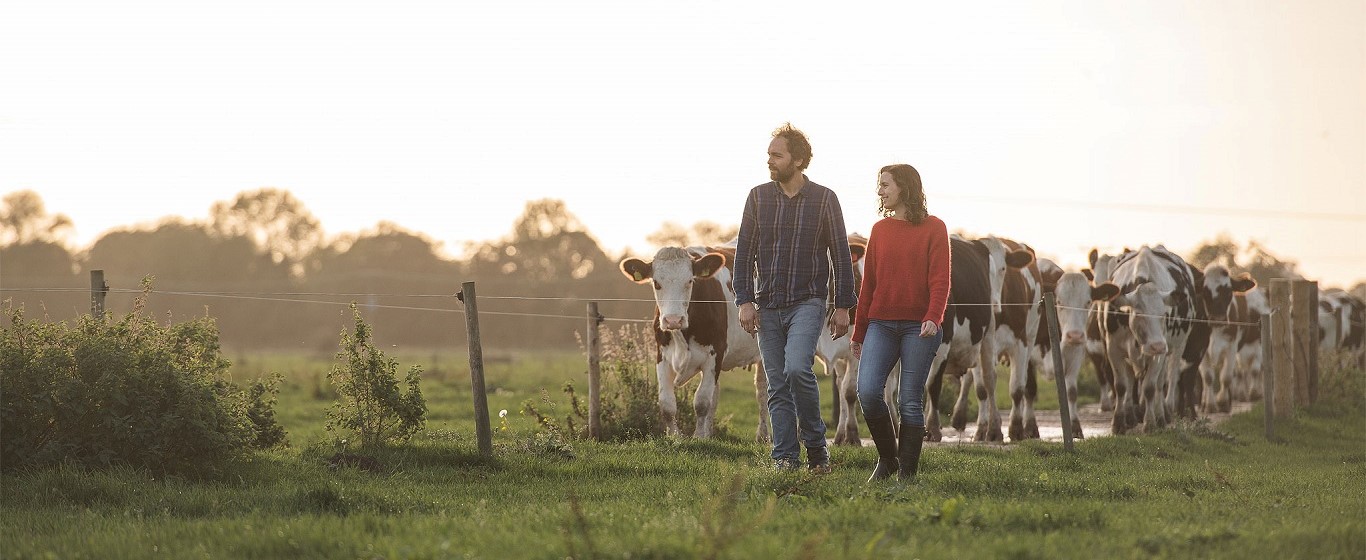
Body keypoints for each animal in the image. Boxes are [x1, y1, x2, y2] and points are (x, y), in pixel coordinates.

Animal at [620, 247, 770, 439]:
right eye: (656, 283)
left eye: (690, 281)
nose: (673, 320)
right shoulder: (662, 356)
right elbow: (666, 404)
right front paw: (676, 437)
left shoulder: (714, 355)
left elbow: (701, 402)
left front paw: (698, 437)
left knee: (762, 391)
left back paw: (763, 436)